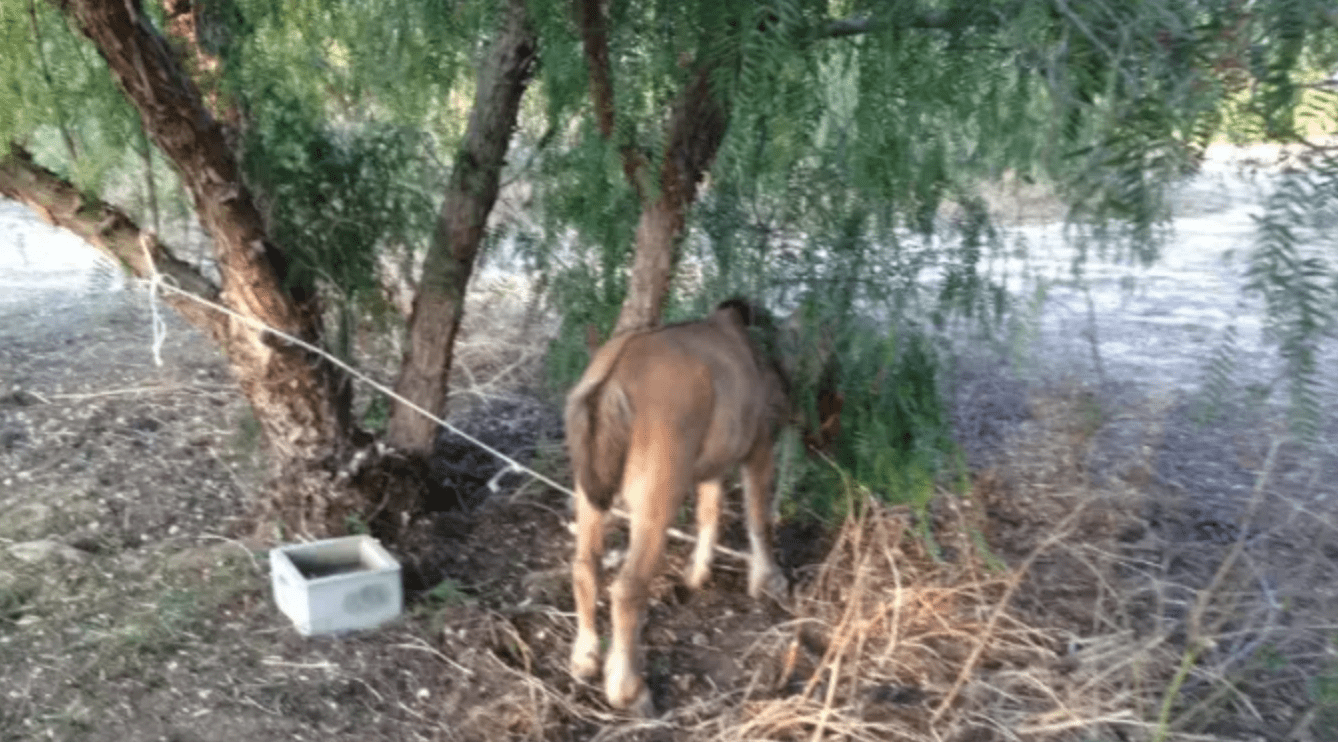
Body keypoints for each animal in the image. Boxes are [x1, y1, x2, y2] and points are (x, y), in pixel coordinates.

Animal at [567, 299, 792, 716]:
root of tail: (612, 379)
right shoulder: (758, 448)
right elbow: (758, 518)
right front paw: (769, 580)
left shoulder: (710, 467)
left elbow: (709, 513)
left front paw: (697, 574)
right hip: (656, 504)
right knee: (627, 590)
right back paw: (629, 690)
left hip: (589, 497)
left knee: (585, 569)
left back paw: (585, 658)